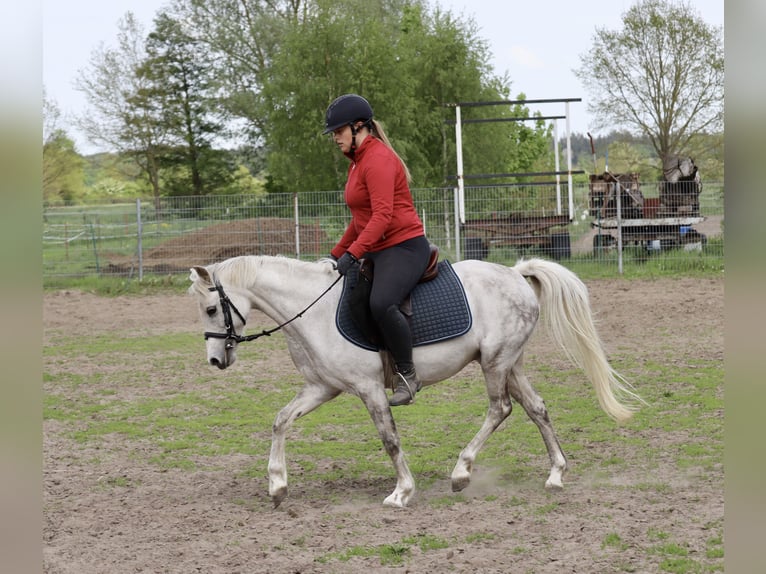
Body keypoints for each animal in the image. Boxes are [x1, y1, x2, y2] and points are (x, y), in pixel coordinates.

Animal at [188, 255, 642, 508]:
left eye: (211, 309)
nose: (215, 360)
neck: (311, 310)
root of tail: (516, 274)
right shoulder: (322, 388)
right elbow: (281, 420)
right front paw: (278, 485)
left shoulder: (369, 389)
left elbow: (389, 440)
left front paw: (402, 492)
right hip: (510, 362)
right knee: (536, 408)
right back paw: (555, 474)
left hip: (496, 363)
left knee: (500, 409)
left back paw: (461, 472)